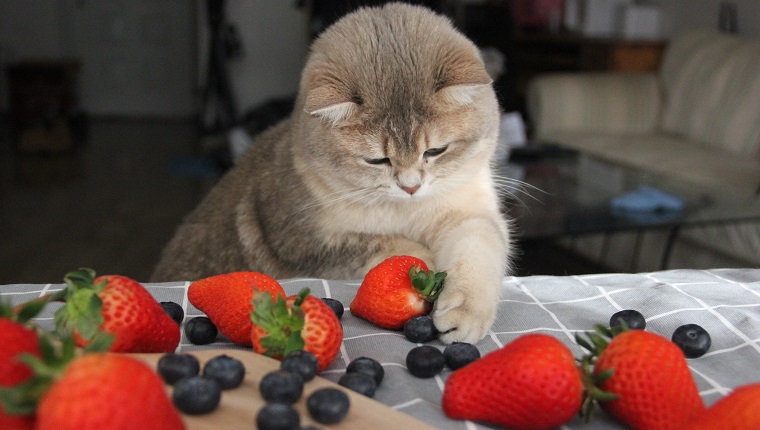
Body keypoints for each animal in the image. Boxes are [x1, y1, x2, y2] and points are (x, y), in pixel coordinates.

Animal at [151, 0, 510, 342]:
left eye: (435, 151)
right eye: (377, 161)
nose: (411, 187)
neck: (405, 210)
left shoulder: (471, 214)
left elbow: (480, 245)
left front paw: (464, 312)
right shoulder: (303, 244)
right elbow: (390, 246)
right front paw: (425, 268)